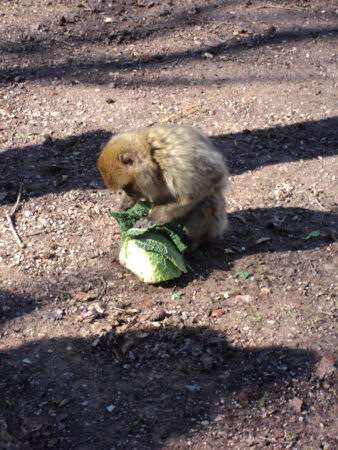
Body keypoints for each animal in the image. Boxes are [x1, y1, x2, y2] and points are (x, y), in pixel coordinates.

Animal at [98, 124, 230, 246]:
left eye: (127, 187)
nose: (128, 195)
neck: (151, 155)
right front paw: (124, 206)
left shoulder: (178, 161)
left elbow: (207, 182)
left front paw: (151, 218)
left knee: (208, 200)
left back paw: (193, 241)